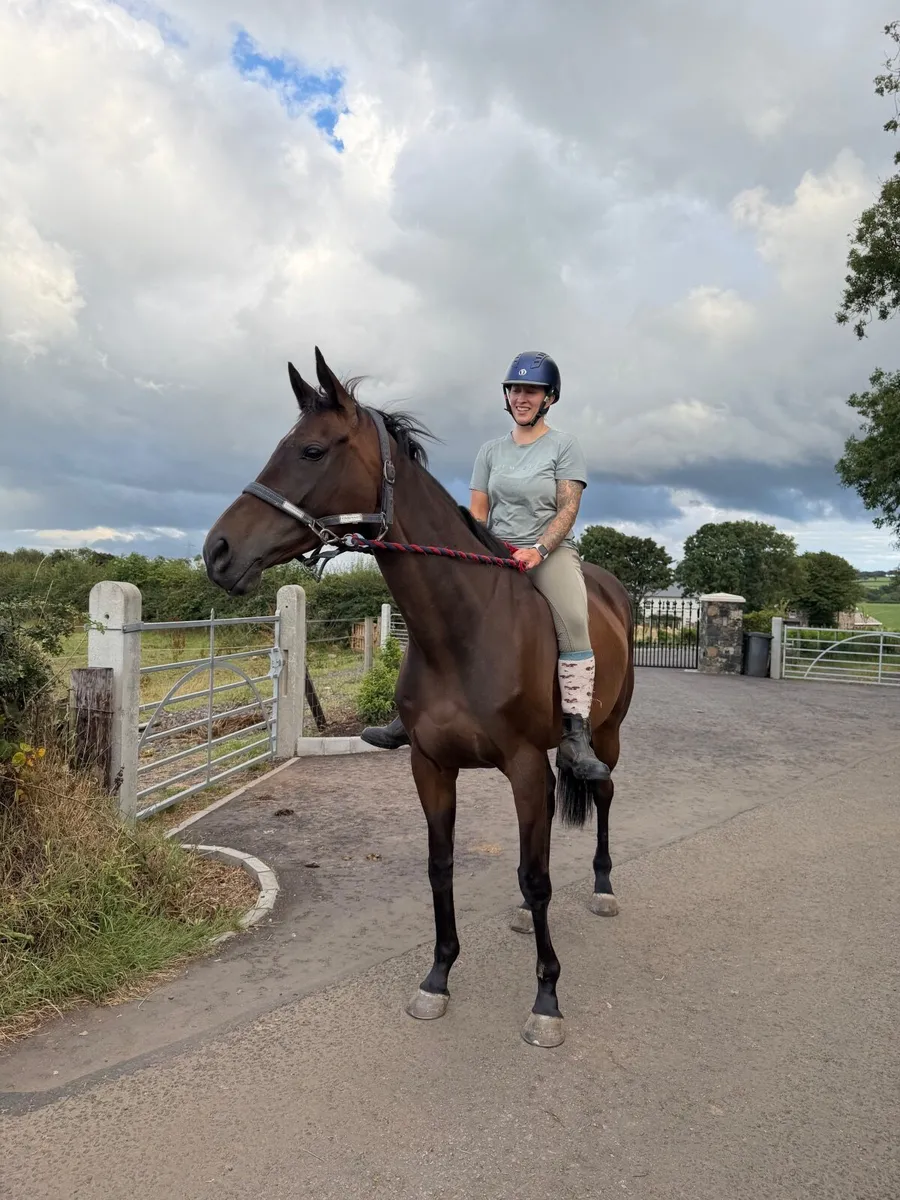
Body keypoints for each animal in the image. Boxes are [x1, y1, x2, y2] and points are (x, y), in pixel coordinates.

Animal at [203, 348, 634, 1048]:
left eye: (313, 450)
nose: (217, 551)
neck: (466, 625)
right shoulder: (430, 765)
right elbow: (443, 867)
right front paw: (438, 978)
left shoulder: (524, 767)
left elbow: (539, 876)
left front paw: (546, 998)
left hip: (608, 735)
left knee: (601, 793)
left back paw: (603, 886)